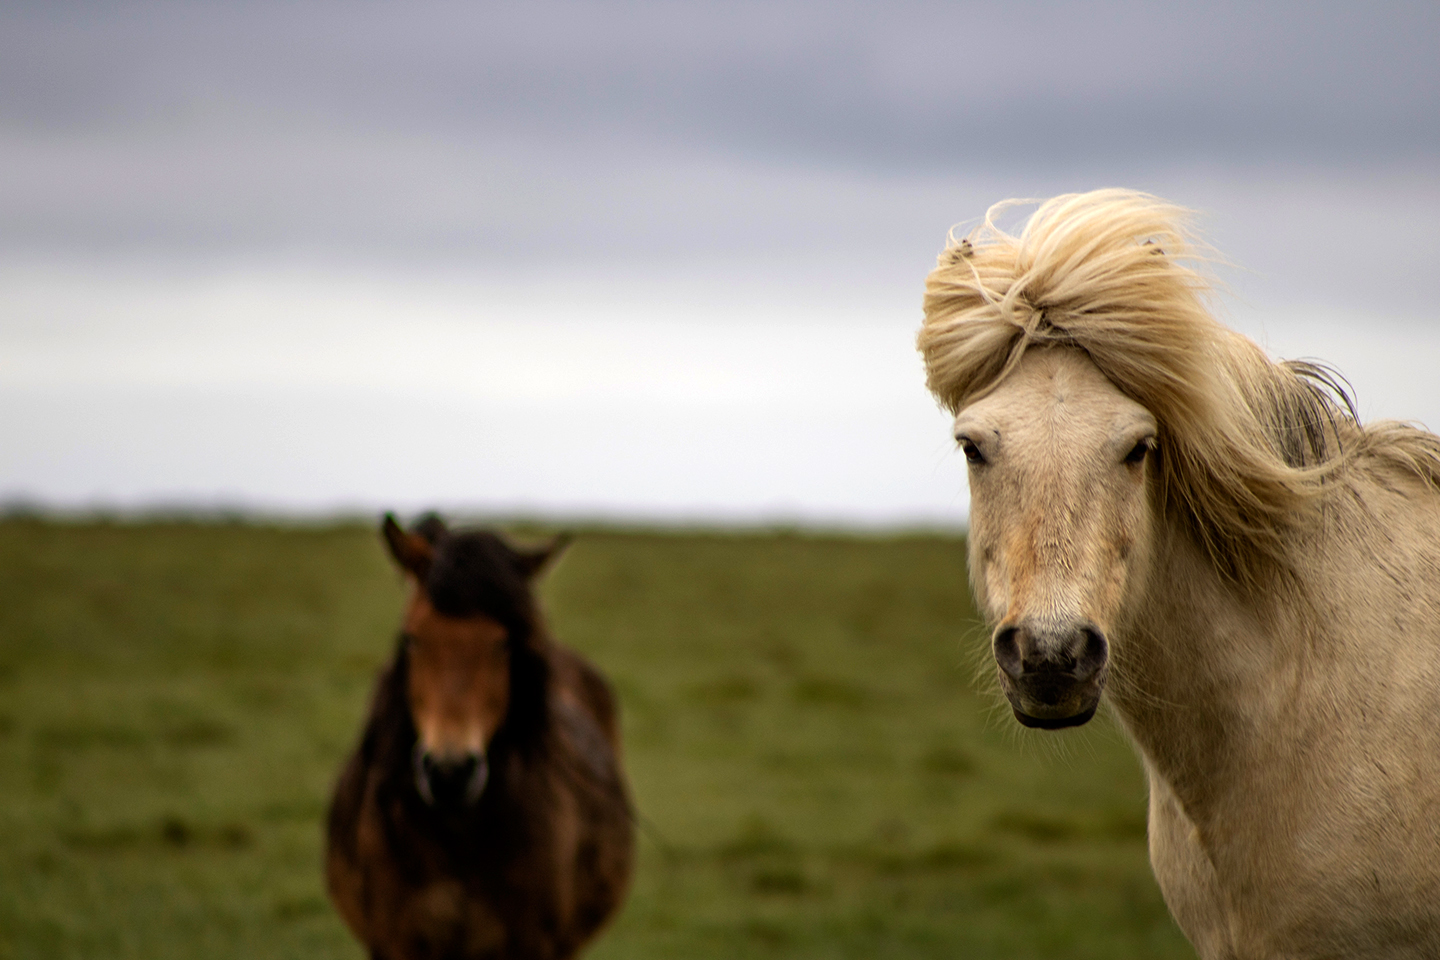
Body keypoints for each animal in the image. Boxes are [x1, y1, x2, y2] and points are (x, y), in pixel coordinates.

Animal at [326, 514, 634, 960]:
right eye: (411, 639)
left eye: (503, 643)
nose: (449, 773)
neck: (457, 839)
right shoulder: (397, 942)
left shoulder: (532, 945)